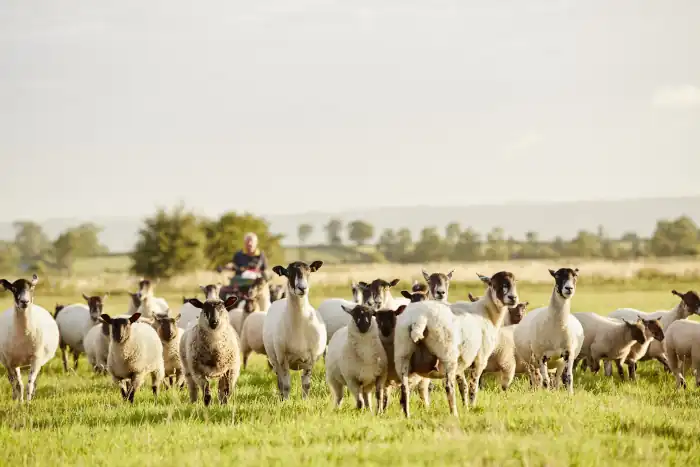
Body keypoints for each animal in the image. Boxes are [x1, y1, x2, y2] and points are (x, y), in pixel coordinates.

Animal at [262, 260, 326, 400]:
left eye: (309, 271)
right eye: (287, 273)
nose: (302, 288)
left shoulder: (311, 359)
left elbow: (306, 384)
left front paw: (305, 401)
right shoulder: (282, 358)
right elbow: (286, 385)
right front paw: (286, 401)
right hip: (274, 359)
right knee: (280, 381)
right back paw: (281, 397)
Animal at [394, 271, 519, 417]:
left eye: (514, 282)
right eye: (493, 284)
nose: (513, 298)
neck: (486, 312)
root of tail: (420, 318)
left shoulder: (461, 362)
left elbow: (463, 385)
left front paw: (466, 406)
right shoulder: (480, 357)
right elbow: (473, 385)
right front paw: (472, 406)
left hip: (403, 355)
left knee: (404, 387)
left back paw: (407, 415)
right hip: (447, 355)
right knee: (448, 386)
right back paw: (454, 413)